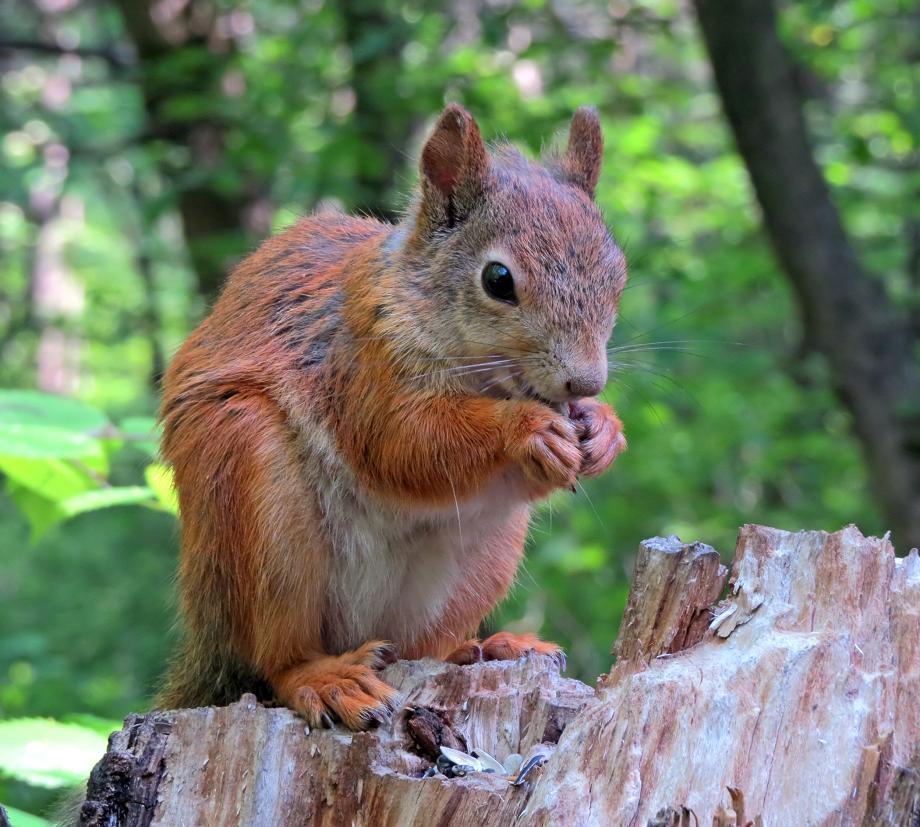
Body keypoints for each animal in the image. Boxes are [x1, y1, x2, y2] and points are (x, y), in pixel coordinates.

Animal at [158, 103, 628, 732]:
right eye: (498, 280)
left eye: (618, 273)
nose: (586, 382)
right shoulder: (363, 362)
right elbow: (404, 444)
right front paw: (526, 430)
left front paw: (603, 429)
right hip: (248, 489)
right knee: (278, 657)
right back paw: (326, 678)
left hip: (480, 561)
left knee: (423, 645)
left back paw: (487, 647)